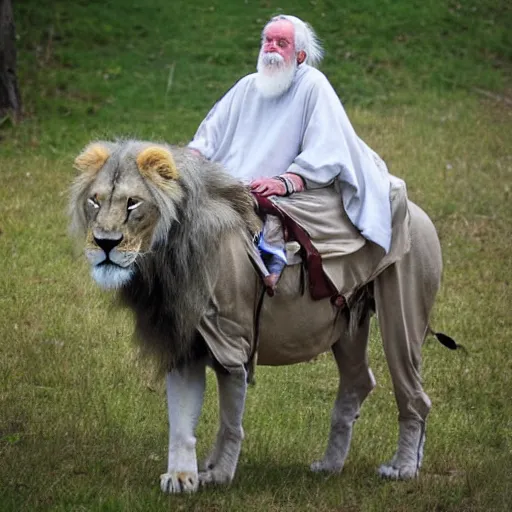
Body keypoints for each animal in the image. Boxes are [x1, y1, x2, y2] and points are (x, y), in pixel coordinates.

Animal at [69, 139, 456, 492]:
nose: (104, 243)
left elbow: (230, 423)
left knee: (414, 395)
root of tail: (417, 208)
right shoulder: (183, 342)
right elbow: (181, 421)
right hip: (347, 326)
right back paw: (330, 465)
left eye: (133, 203)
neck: (168, 256)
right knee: (358, 382)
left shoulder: (233, 342)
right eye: (95, 200)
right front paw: (182, 477)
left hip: (402, 310)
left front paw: (219, 475)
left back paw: (403, 468)